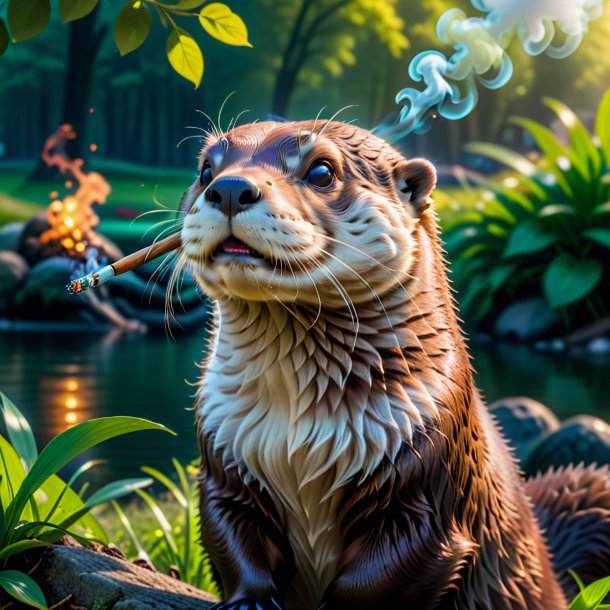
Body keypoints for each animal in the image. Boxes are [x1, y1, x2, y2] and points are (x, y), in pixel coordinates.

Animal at [177, 120, 608, 608]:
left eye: (321, 170)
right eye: (206, 169)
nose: (230, 188)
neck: (297, 434)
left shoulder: (427, 473)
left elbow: (383, 574)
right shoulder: (223, 451)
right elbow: (229, 534)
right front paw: (249, 600)